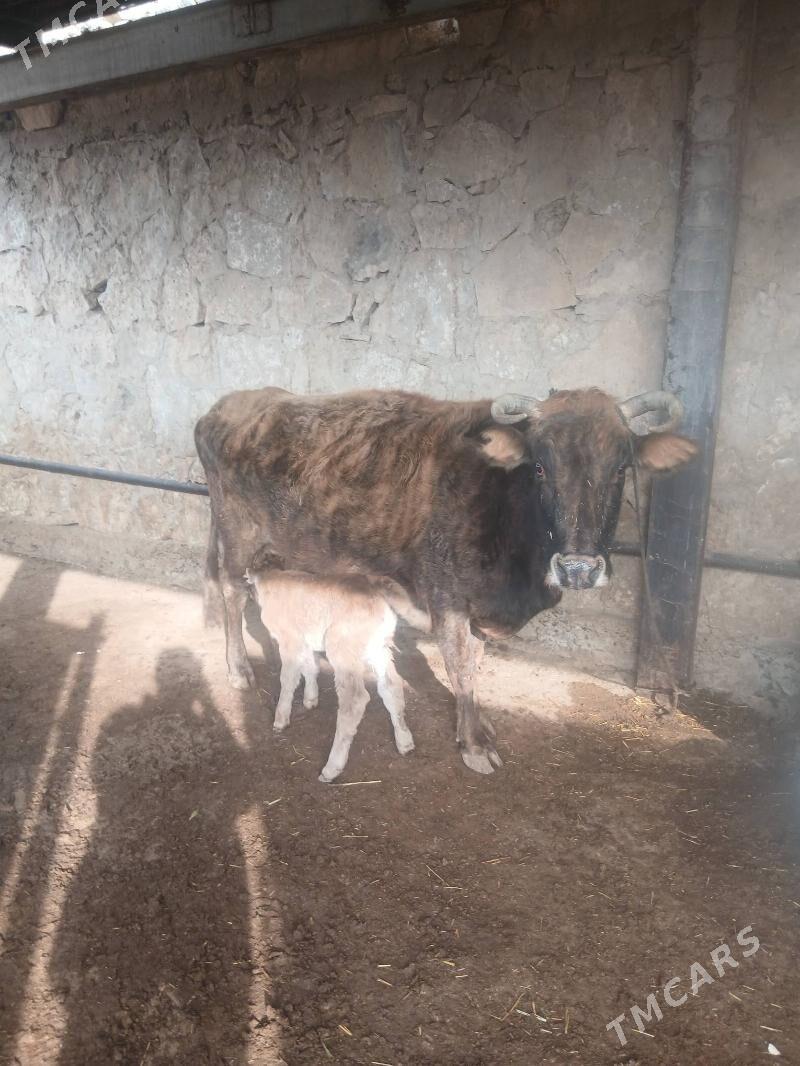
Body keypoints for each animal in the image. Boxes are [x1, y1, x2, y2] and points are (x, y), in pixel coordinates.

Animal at [195, 387, 697, 774]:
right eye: (539, 467)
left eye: (620, 469)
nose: (578, 568)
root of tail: (228, 405)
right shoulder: (449, 600)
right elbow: (460, 666)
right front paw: (474, 744)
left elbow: (473, 665)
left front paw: (478, 726)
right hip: (236, 535)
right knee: (233, 595)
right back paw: (238, 669)